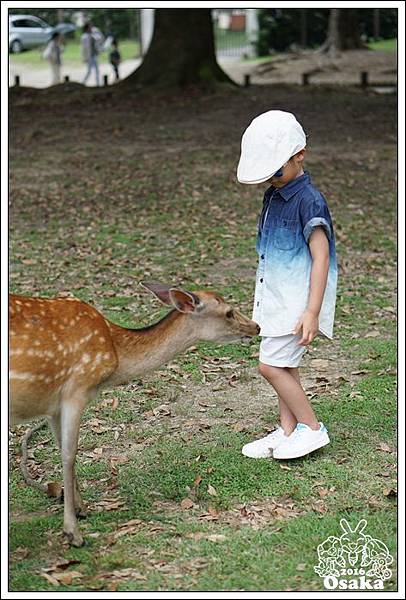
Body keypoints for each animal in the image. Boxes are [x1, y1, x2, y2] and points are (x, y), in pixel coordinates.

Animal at [9, 284, 258, 548]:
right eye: (229, 312)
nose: (256, 326)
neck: (115, 353)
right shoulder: (76, 389)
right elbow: (69, 455)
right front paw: (73, 532)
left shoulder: (53, 406)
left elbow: (61, 449)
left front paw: (81, 508)